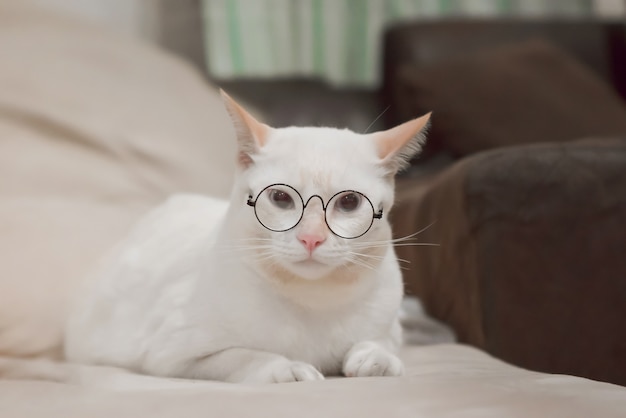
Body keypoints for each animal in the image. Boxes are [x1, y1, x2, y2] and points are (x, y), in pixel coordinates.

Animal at [66, 92, 432, 386]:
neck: (313, 302)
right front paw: (287, 368)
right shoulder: (175, 355)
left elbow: (380, 342)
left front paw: (375, 358)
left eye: (349, 202)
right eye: (281, 198)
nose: (311, 239)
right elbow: (245, 355)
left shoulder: (389, 329)